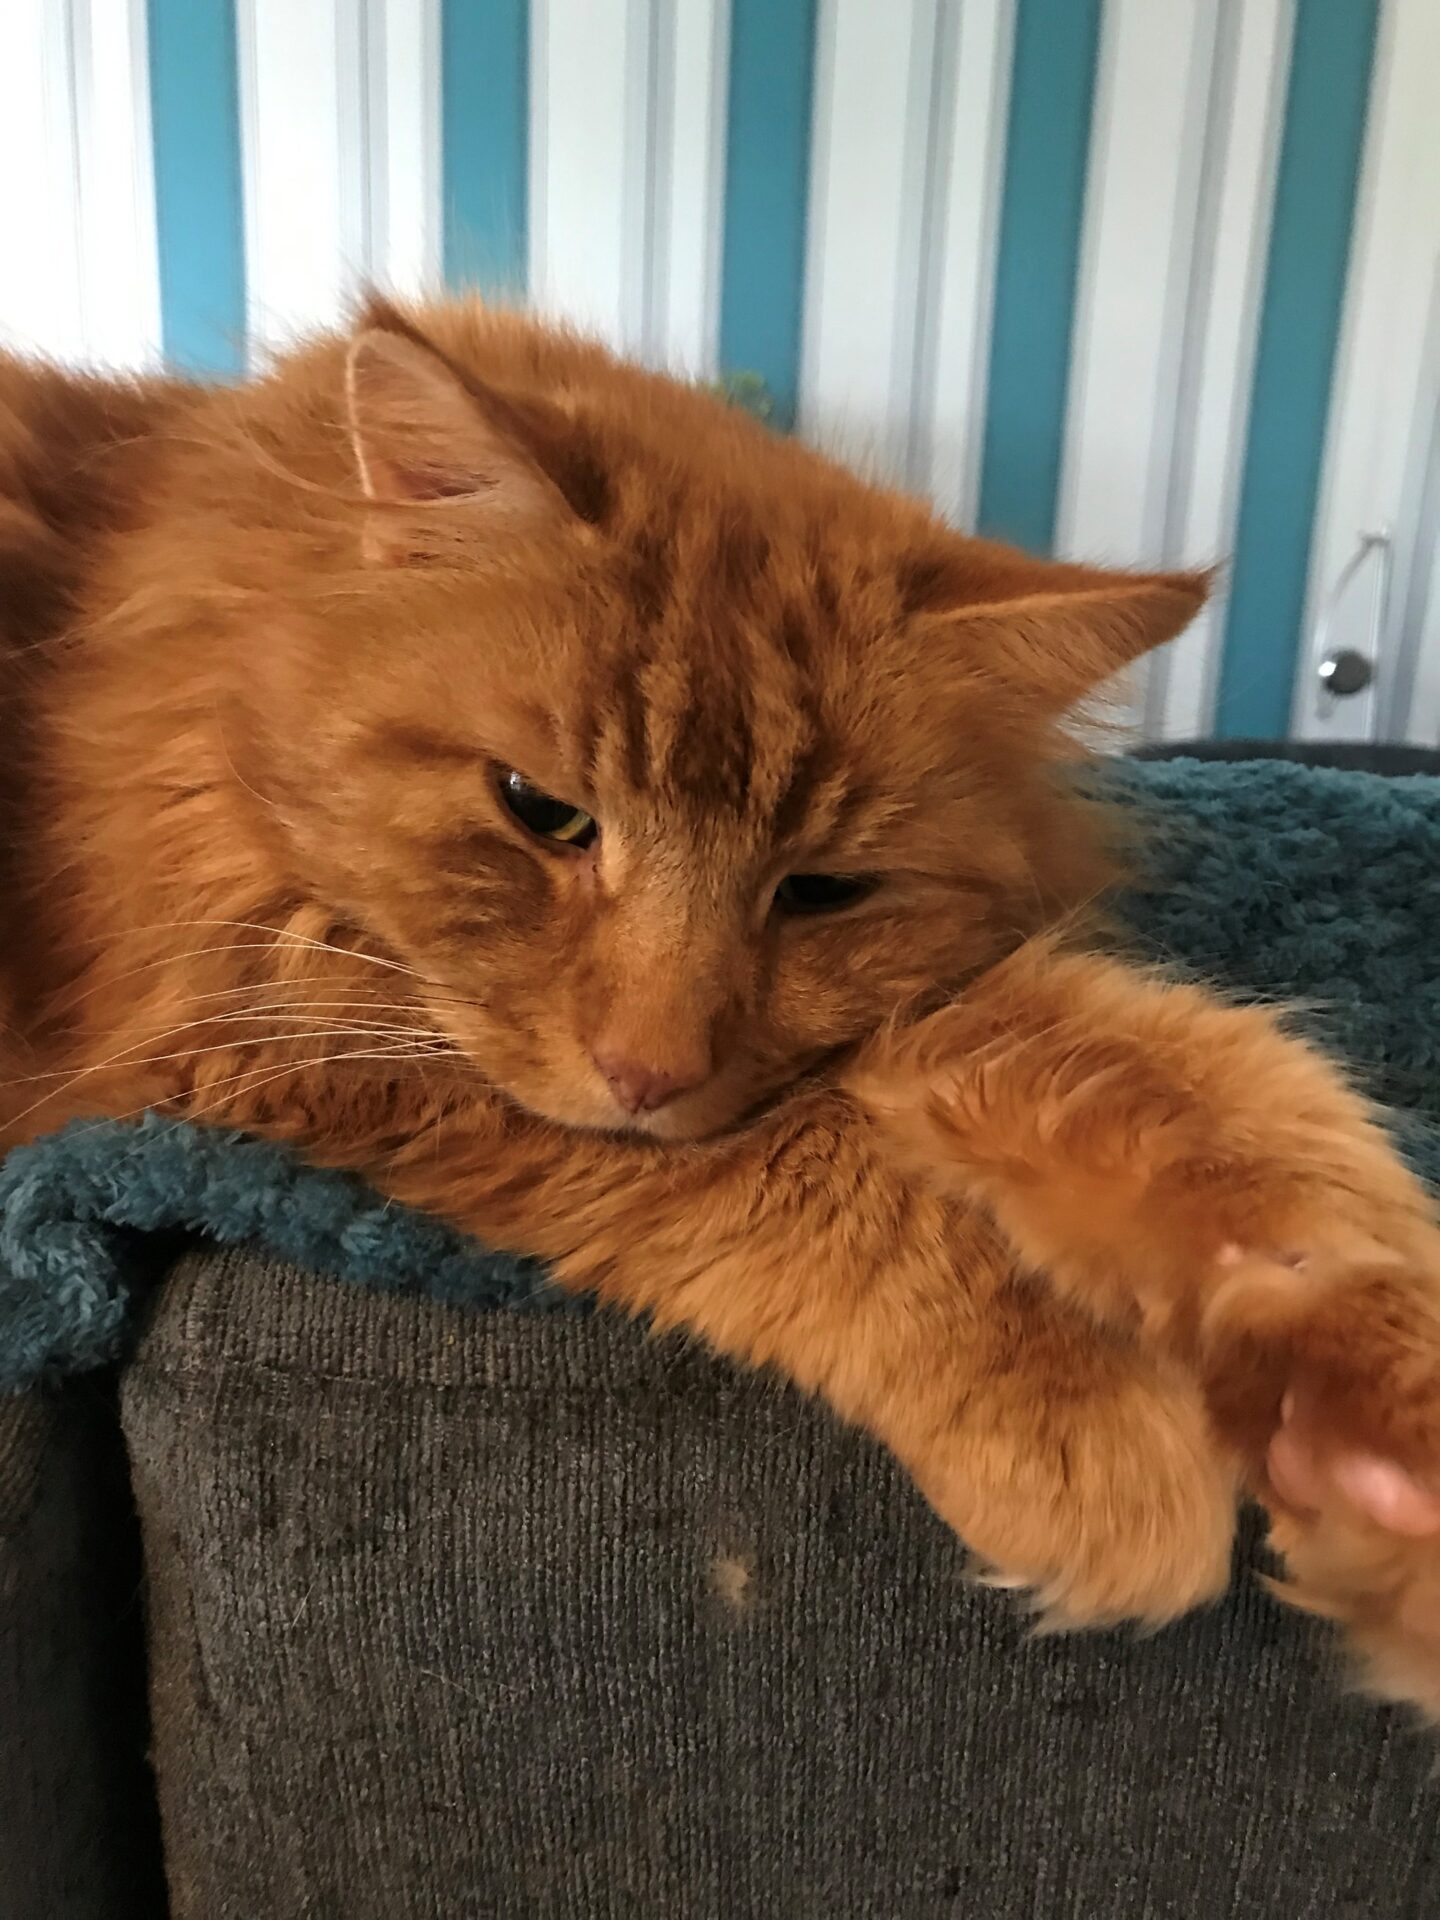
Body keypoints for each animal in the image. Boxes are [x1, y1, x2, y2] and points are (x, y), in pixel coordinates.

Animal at [2, 303, 1440, 1728]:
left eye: (820, 891)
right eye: (542, 811)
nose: (650, 1074)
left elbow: (1173, 1090)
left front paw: (1352, 1388)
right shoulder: (269, 1026)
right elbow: (818, 1172)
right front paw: (1086, 1407)